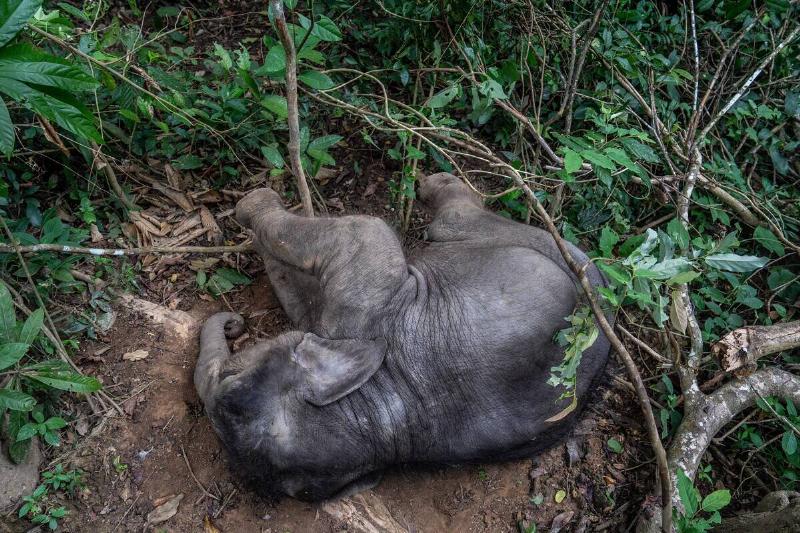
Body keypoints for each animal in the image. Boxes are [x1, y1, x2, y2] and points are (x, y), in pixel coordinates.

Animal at [194, 172, 611, 501]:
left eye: (231, 387)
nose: (233, 323)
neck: (374, 409)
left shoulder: (364, 304)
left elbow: (363, 231)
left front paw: (252, 204)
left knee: (453, 222)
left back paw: (433, 184)